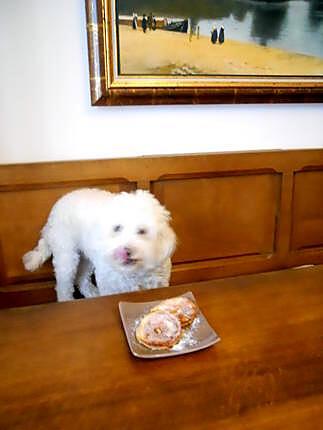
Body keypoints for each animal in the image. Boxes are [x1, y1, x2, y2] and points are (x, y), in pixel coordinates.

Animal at [22, 188, 177, 302]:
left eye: (142, 231)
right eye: (117, 228)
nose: (124, 250)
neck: (132, 273)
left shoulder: (160, 283)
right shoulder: (109, 285)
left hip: (86, 258)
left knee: (81, 279)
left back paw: (92, 293)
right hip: (66, 256)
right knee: (63, 286)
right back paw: (66, 300)